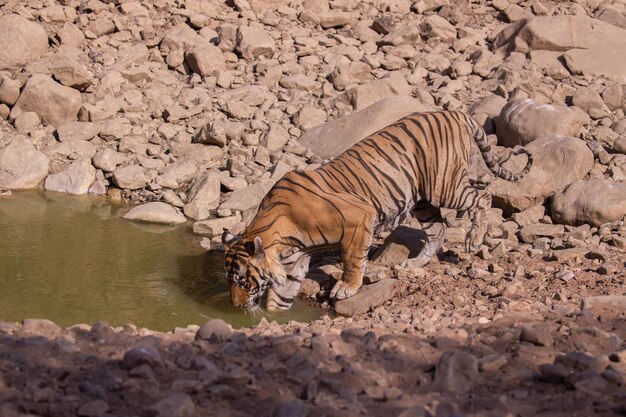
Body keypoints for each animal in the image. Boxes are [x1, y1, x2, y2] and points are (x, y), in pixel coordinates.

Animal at [222, 109, 528, 310]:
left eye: (242, 281)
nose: (235, 306)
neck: (283, 242)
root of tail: (454, 111)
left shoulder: (359, 219)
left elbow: (352, 259)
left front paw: (346, 287)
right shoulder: (294, 264)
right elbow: (281, 297)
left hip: (445, 186)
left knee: (484, 196)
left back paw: (474, 240)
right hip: (424, 202)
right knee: (437, 231)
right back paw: (414, 263)